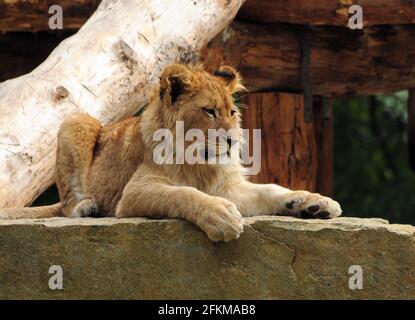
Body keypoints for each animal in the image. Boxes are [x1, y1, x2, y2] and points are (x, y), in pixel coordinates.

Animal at [0, 63, 342, 241]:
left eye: (232, 113)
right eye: (208, 111)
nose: (234, 141)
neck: (201, 164)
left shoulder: (228, 187)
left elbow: (270, 190)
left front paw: (312, 202)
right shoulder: (135, 192)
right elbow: (182, 193)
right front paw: (220, 217)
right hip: (77, 121)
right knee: (67, 203)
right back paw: (85, 207)